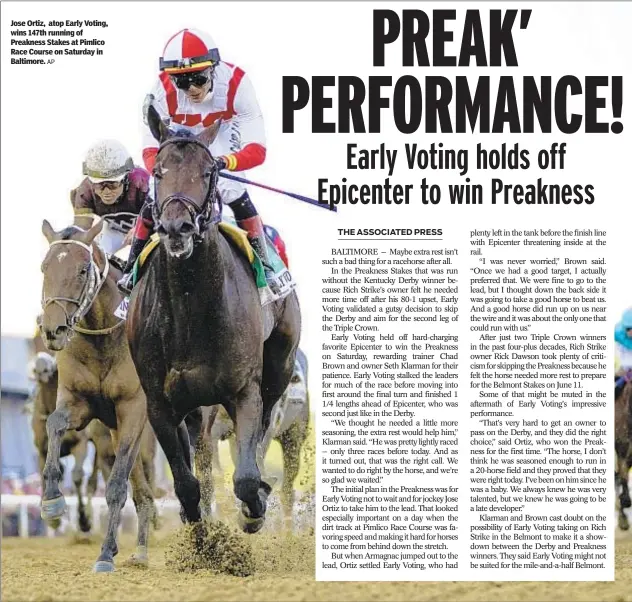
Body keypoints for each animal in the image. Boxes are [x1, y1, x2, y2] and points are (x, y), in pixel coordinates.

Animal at [38, 219, 158, 568]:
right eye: (44, 267)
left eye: (81, 270)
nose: (52, 330)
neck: (103, 338)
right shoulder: (81, 405)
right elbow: (54, 424)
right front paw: (52, 503)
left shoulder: (134, 408)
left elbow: (116, 485)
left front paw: (104, 555)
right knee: (143, 491)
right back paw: (140, 551)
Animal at [127, 108, 302, 528]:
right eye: (158, 171)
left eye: (208, 171)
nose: (177, 227)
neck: (190, 308)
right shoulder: (160, 403)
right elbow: (187, 485)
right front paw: (201, 531)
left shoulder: (244, 391)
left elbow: (246, 478)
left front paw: (254, 507)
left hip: (280, 366)